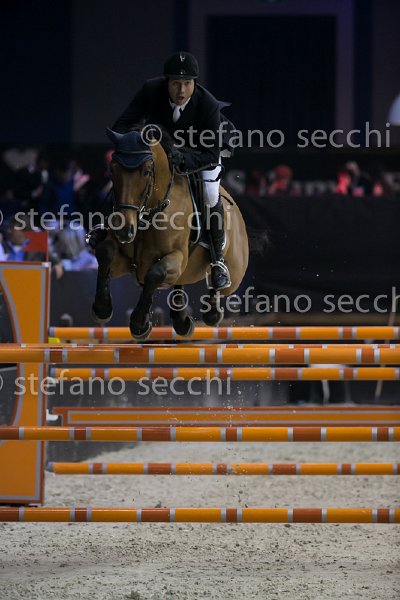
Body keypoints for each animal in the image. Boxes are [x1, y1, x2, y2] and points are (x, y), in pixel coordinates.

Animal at [91, 128, 248, 340]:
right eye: (112, 170)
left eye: (147, 171)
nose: (123, 229)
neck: (148, 214)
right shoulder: (123, 262)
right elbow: (105, 251)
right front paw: (102, 309)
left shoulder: (177, 256)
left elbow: (155, 274)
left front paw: (140, 325)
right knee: (179, 284)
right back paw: (182, 321)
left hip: (235, 274)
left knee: (218, 283)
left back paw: (213, 307)